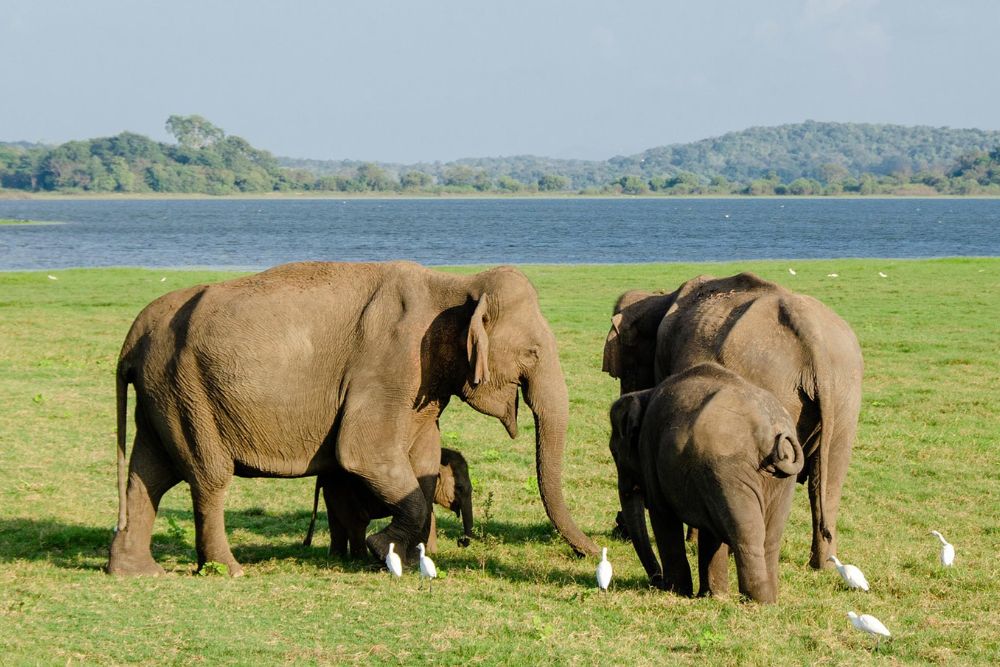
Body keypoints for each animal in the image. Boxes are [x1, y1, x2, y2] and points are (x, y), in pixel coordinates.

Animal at [302, 448, 474, 560]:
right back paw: (361, 560)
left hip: (333, 490)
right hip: (344, 490)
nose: (460, 541)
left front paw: (431, 553)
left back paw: (337, 558)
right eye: (459, 487)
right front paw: (429, 554)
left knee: (337, 521)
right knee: (357, 522)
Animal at [604, 272, 864, 568]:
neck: (661, 297)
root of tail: (812, 334)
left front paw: (694, 540)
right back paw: (823, 565)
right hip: (845, 393)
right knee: (827, 479)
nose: (618, 529)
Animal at [608, 366, 804, 604]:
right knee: (771, 538)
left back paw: (755, 600)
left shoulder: (650, 451)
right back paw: (769, 601)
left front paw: (676, 591)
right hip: (777, 482)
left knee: (747, 534)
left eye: (614, 452)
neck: (645, 394)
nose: (656, 581)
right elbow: (711, 532)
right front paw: (713, 596)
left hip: (729, 470)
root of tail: (770, 430)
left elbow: (662, 515)